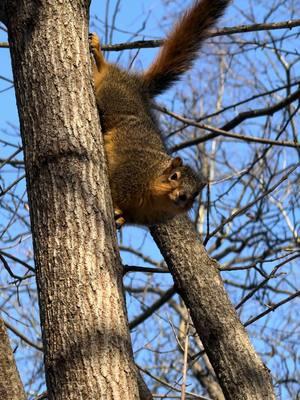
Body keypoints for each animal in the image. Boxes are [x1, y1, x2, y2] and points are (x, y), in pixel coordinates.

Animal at [89, 0, 230, 228]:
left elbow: (128, 216)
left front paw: (120, 217)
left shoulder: (147, 215)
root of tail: (138, 87)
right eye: (174, 176)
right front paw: (116, 206)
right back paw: (100, 57)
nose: (182, 196)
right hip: (115, 97)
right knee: (107, 75)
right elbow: (115, 187)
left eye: (194, 195)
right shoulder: (131, 172)